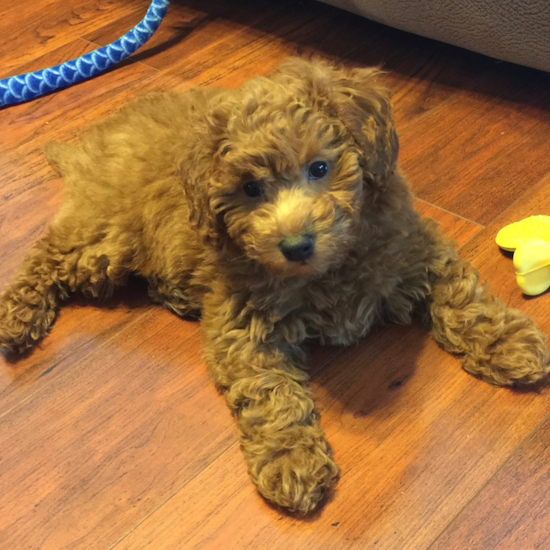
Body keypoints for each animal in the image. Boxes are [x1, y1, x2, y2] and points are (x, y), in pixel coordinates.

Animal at [1, 58, 550, 516]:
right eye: (250, 189)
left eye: (321, 167)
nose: (295, 244)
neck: (329, 267)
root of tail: (91, 144)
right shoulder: (244, 324)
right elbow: (271, 395)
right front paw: (292, 461)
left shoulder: (417, 251)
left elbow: (465, 298)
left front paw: (510, 343)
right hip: (105, 239)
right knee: (47, 257)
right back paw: (15, 318)